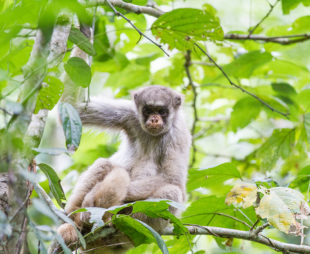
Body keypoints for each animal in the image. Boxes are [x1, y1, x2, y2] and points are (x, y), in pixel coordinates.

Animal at [55, 86, 191, 253]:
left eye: (162, 111)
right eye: (147, 110)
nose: (154, 119)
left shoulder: (178, 132)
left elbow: (172, 179)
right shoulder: (129, 113)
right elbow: (73, 108)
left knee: (173, 192)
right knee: (104, 164)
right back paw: (75, 221)